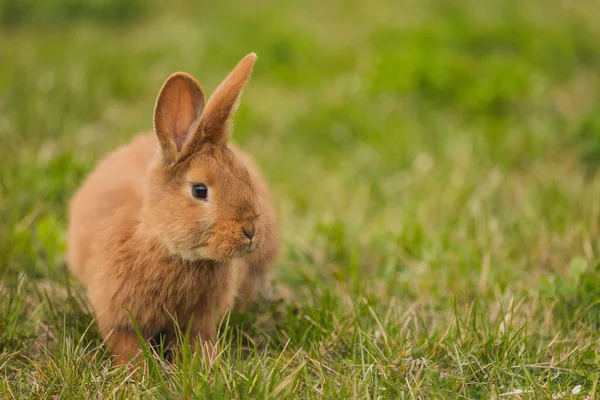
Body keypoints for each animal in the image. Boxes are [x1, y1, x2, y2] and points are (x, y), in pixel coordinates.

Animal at [67, 53, 278, 366]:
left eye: (244, 175)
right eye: (200, 190)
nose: (250, 231)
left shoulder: (199, 322)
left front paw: (203, 364)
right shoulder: (118, 317)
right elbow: (126, 345)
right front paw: (138, 370)